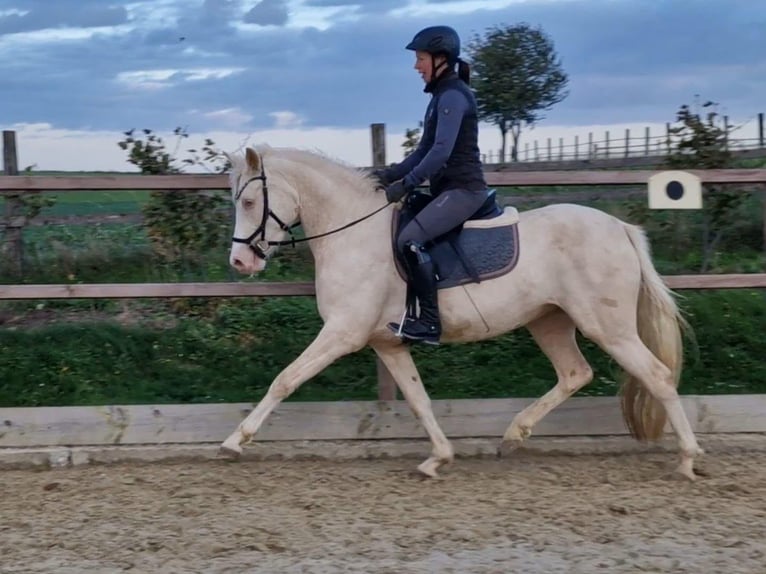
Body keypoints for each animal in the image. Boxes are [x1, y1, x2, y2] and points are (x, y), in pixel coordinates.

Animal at [218, 144, 704, 481]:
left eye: (248, 202)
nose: (240, 263)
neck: (352, 232)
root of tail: (619, 228)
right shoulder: (386, 343)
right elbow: (418, 400)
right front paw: (438, 458)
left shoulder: (342, 333)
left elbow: (285, 379)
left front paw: (234, 441)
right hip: (548, 320)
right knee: (574, 374)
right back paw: (513, 435)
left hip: (609, 326)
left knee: (657, 376)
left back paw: (687, 459)